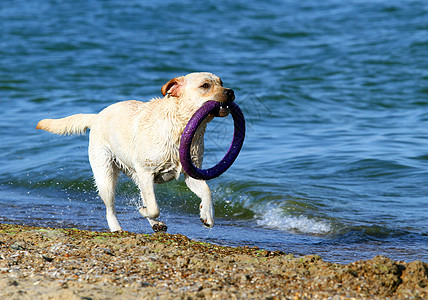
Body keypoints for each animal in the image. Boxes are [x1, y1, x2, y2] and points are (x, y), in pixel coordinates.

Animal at [37, 72, 236, 232]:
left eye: (221, 82)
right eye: (205, 85)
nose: (231, 92)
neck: (180, 129)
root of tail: (97, 116)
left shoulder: (190, 173)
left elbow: (207, 191)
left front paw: (207, 215)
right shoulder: (146, 172)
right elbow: (154, 208)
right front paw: (143, 211)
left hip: (135, 177)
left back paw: (155, 224)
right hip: (106, 176)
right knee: (111, 208)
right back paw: (117, 228)